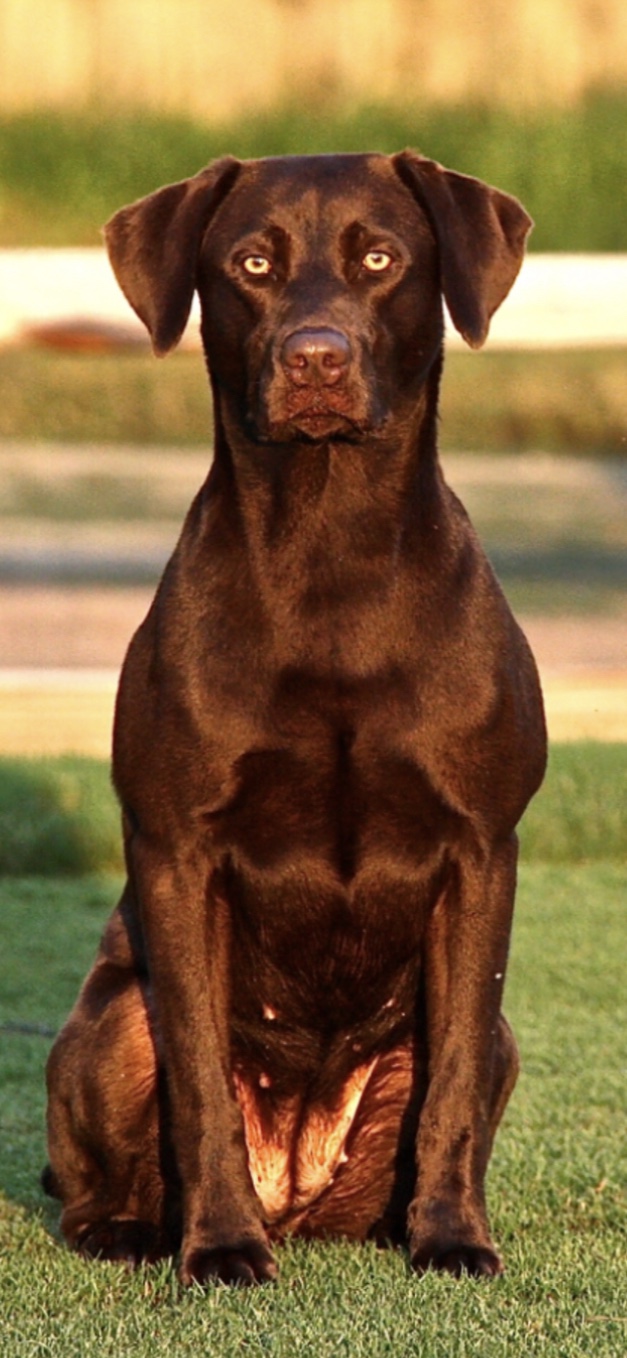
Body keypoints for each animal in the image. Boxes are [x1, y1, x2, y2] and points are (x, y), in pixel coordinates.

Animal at [44, 151, 545, 1281]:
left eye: (381, 258)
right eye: (254, 263)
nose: (316, 357)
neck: (331, 549)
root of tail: (299, 1193)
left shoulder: (480, 851)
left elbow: (451, 1080)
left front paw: (453, 1238)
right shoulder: (177, 851)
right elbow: (198, 1077)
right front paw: (220, 1246)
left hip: (497, 1037)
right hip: (106, 1020)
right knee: (94, 1163)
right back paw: (138, 1228)